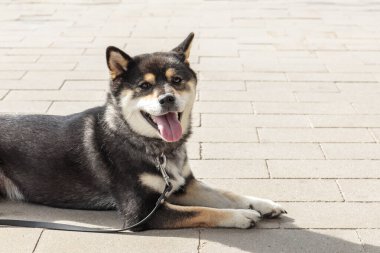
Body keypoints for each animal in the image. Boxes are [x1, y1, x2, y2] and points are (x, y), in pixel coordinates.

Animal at [0, 33, 284, 231]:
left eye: (177, 80)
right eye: (144, 86)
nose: (167, 98)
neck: (153, 147)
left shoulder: (183, 185)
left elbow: (226, 194)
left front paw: (262, 204)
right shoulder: (141, 211)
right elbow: (203, 210)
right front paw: (241, 215)